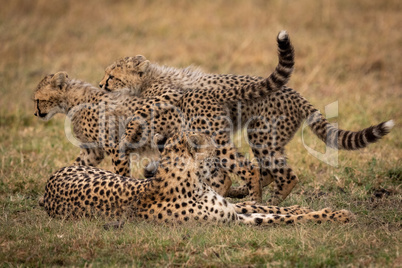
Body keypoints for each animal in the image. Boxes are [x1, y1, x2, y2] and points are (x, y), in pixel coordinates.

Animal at [39, 133, 352, 225]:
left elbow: (273, 209)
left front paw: (318, 210)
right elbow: (281, 218)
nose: (223, 147)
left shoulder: (231, 209)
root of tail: (48, 186)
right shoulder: (234, 220)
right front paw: (337, 215)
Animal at [99, 31, 394, 204]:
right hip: (265, 140)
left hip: (255, 136)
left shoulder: (164, 103)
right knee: (266, 171)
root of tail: (295, 94)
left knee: (271, 172)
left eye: (111, 75)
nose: (101, 84)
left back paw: (263, 202)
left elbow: (137, 119)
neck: (149, 79)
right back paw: (250, 196)